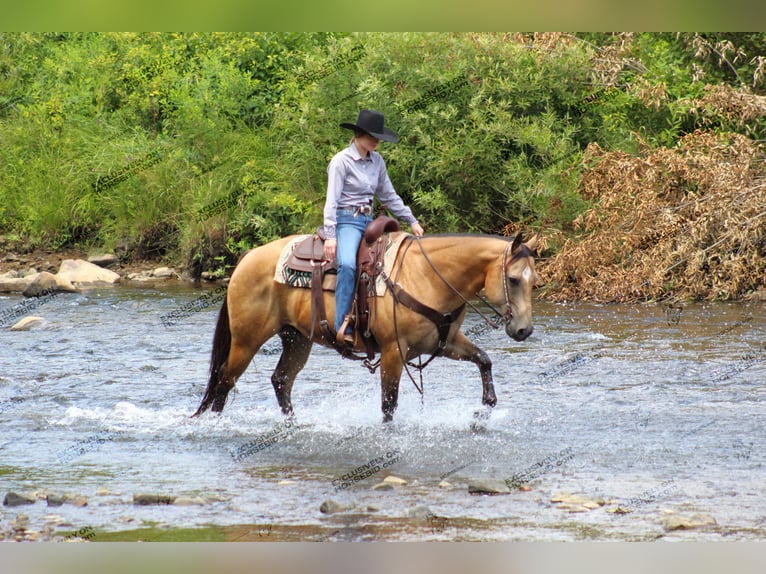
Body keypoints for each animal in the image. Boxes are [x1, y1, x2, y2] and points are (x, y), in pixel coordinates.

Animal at [192, 232, 540, 426]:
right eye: (512, 279)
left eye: (534, 280)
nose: (524, 330)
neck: (426, 276)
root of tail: (246, 258)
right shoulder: (393, 351)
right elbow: (388, 403)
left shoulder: (446, 342)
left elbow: (484, 360)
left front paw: (484, 410)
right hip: (246, 340)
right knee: (224, 380)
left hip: (297, 339)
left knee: (281, 380)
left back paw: (293, 424)